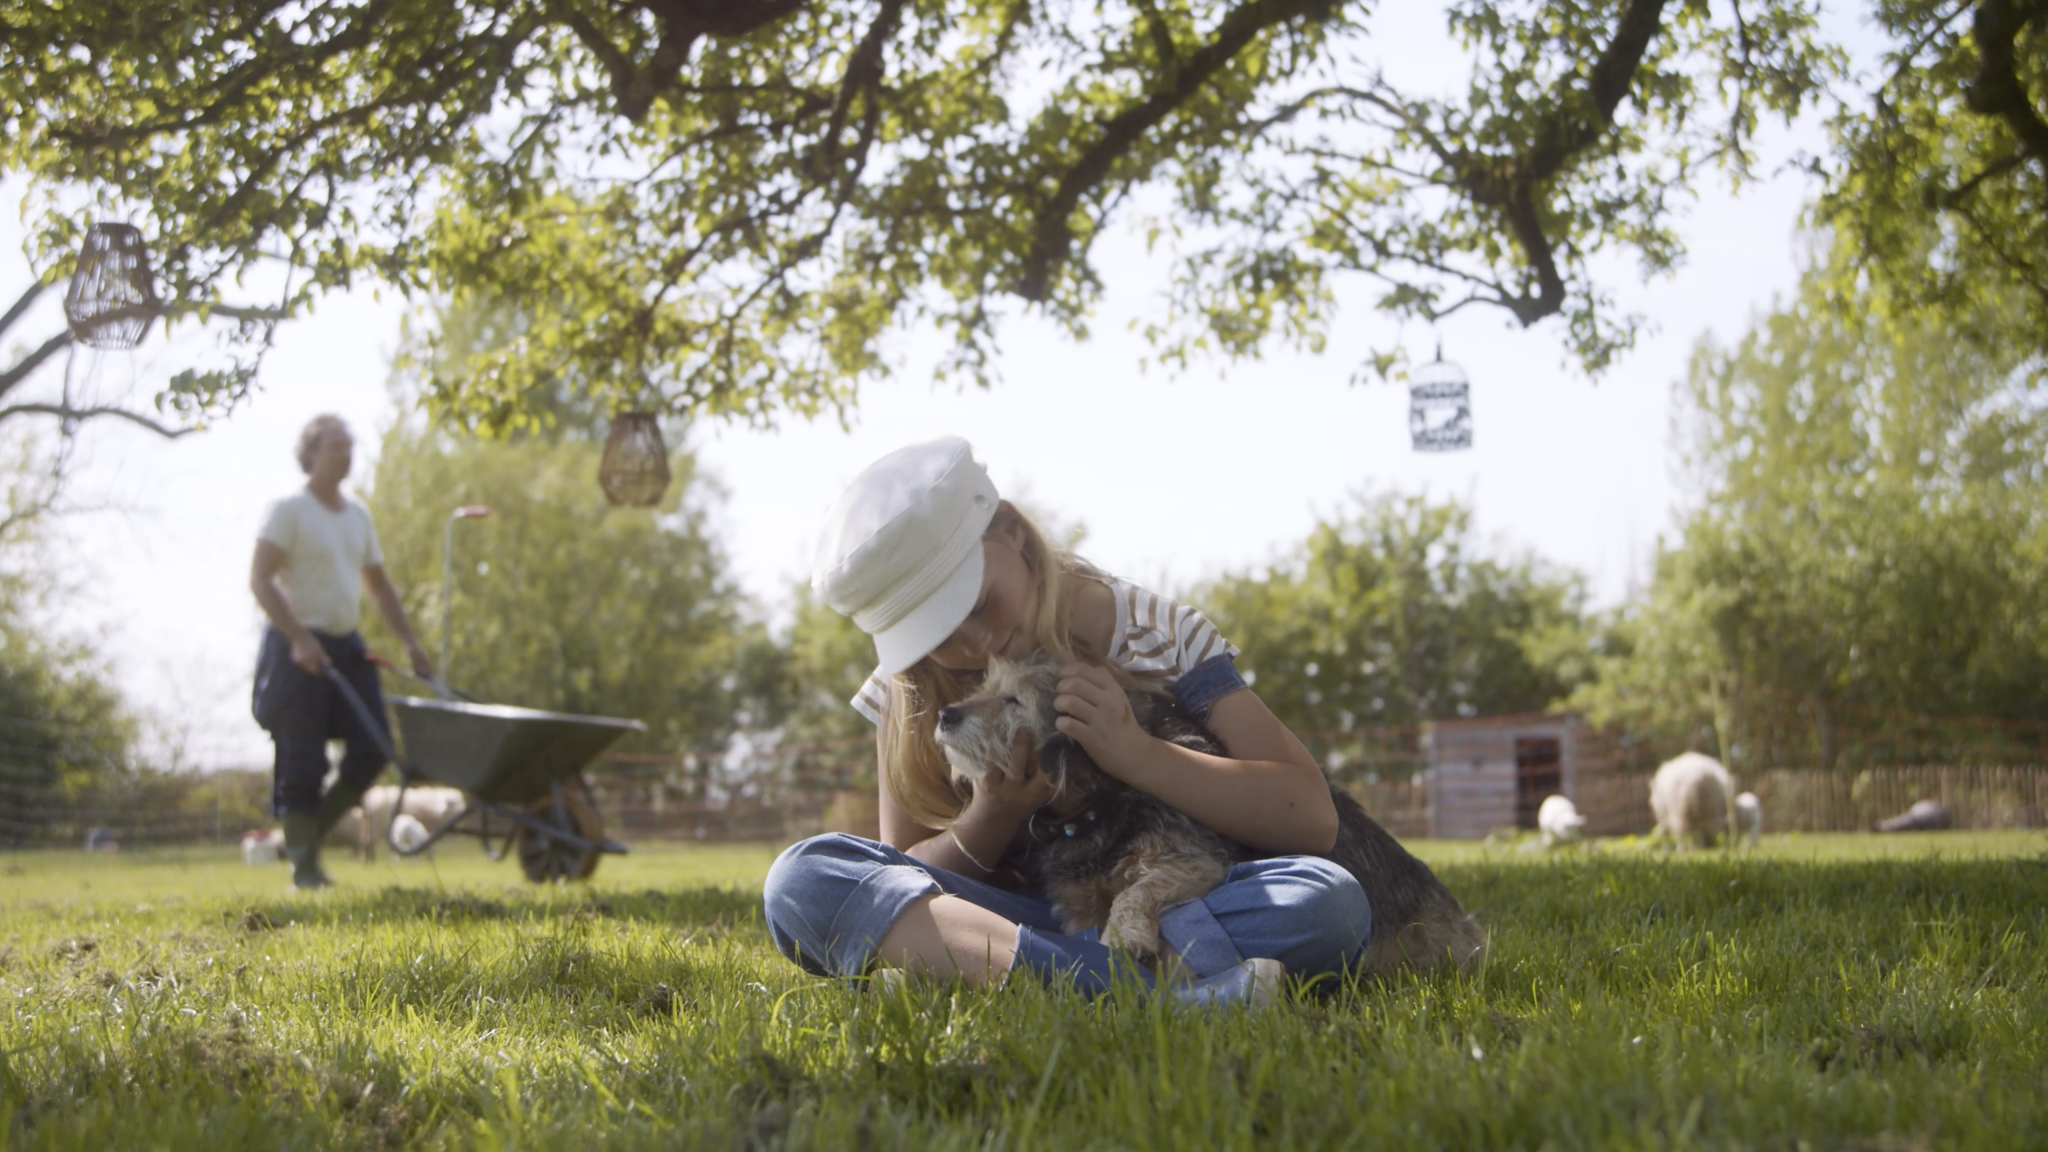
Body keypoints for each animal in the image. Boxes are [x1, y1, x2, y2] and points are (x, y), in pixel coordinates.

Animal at [933, 651, 1490, 971]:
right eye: (983, 689)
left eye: (1014, 700)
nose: (944, 714)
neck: (1099, 804)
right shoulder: (1077, 909)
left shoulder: (1193, 863)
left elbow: (1135, 892)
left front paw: (1126, 933)